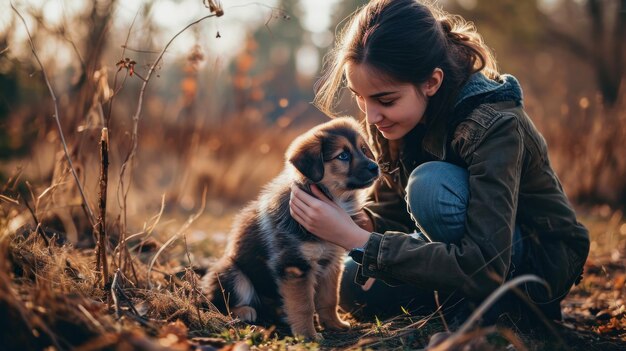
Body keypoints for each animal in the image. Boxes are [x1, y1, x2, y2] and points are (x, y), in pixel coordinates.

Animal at [201, 117, 376, 340]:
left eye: (364, 149)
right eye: (343, 156)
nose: (375, 167)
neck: (335, 199)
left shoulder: (332, 262)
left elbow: (329, 299)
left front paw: (334, 324)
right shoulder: (294, 265)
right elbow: (304, 306)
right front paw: (308, 335)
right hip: (233, 272)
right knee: (222, 301)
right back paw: (245, 311)